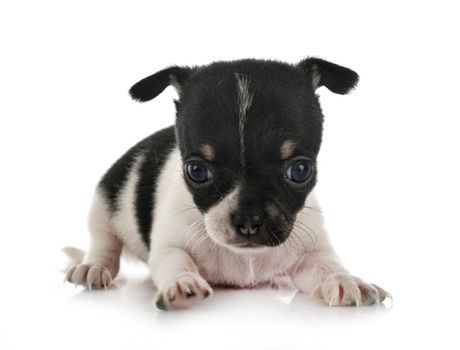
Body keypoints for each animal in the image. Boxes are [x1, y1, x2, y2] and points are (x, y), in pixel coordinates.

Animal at [64, 58, 390, 312]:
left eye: (300, 170)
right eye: (196, 170)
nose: (248, 222)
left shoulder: (310, 253)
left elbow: (325, 266)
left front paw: (345, 280)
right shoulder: (169, 245)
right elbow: (176, 261)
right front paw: (182, 284)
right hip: (105, 202)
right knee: (104, 242)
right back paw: (93, 268)